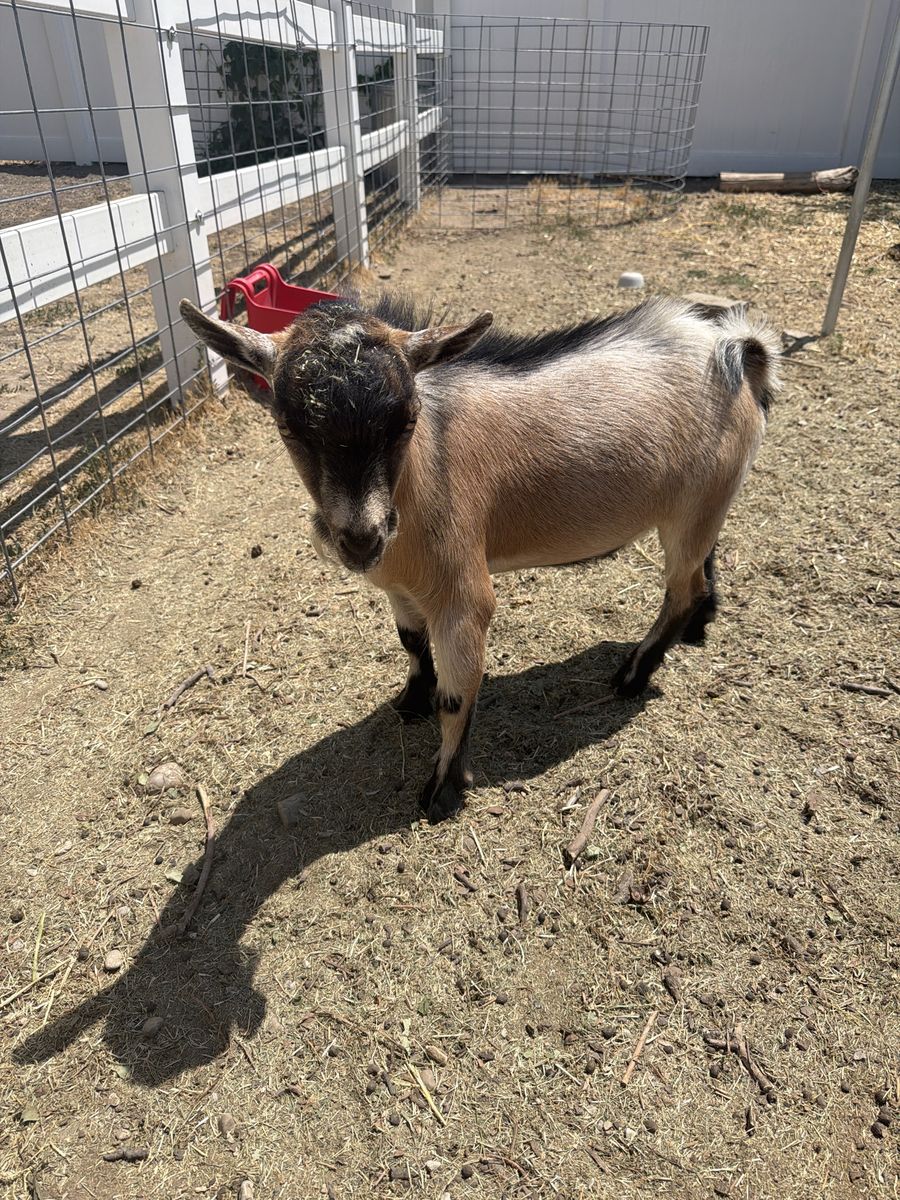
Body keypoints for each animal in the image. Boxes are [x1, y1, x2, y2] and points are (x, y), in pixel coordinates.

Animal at [180, 292, 780, 823]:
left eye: (406, 420)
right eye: (288, 426)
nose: (361, 539)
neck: (421, 476)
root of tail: (736, 348)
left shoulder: (461, 594)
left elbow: (457, 692)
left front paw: (442, 792)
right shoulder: (401, 587)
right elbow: (411, 642)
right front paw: (409, 702)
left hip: (693, 505)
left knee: (682, 588)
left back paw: (632, 674)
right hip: (708, 504)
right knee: (702, 567)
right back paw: (700, 627)